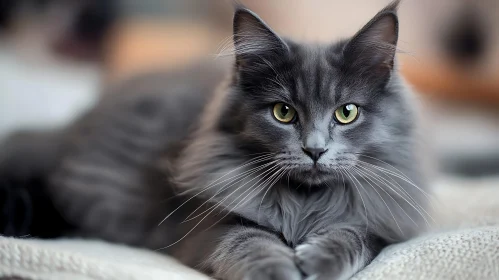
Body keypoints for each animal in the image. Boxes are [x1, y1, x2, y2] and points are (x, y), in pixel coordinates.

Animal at [0, 1, 430, 278]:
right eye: (283, 112)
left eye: (346, 112)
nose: (314, 149)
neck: (304, 202)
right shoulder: (206, 227)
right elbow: (249, 243)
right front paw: (281, 272)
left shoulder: (382, 220)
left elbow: (353, 236)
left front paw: (319, 262)